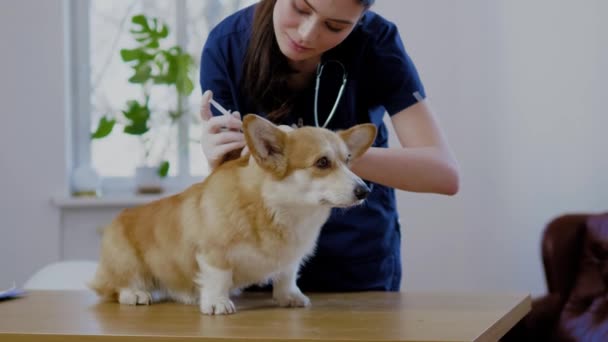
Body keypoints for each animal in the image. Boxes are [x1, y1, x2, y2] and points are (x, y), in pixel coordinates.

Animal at [88, 115, 378, 316]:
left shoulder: (290, 259)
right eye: (322, 162)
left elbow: (287, 276)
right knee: (116, 286)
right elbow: (219, 277)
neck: (277, 208)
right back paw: (135, 294)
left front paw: (289, 297)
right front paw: (217, 303)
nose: (364, 191)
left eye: (348, 160)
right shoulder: (213, 252)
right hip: (125, 261)